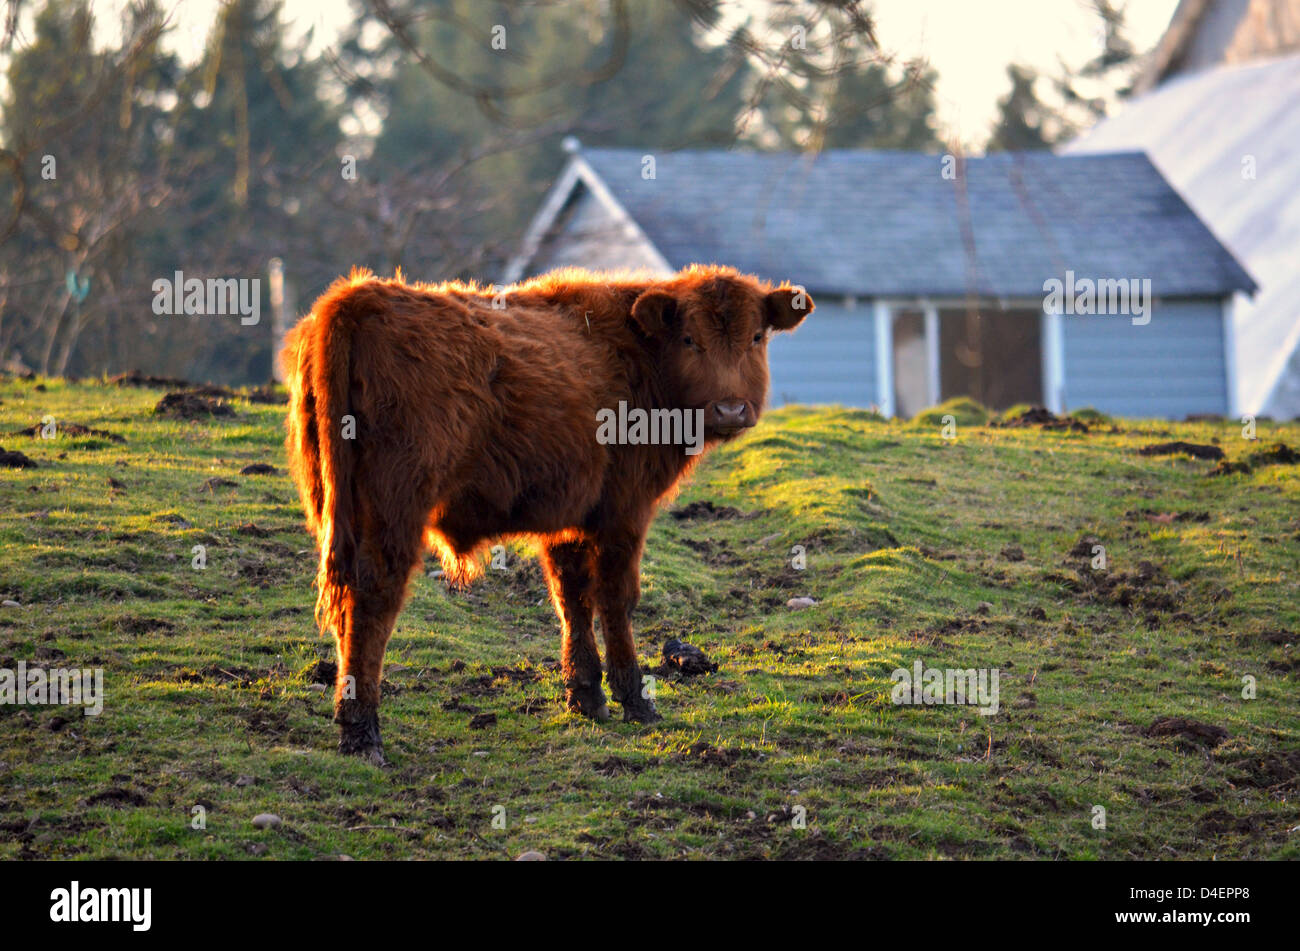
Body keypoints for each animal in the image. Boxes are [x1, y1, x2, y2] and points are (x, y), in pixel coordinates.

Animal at [284, 263, 811, 763]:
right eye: (689, 339)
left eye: (756, 337)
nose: (730, 409)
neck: (638, 359)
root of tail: (361, 295)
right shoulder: (624, 510)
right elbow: (615, 599)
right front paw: (635, 699)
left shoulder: (570, 516)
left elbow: (571, 596)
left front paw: (586, 695)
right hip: (393, 509)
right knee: (372, 602)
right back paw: (362, 731)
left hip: (336, 507)